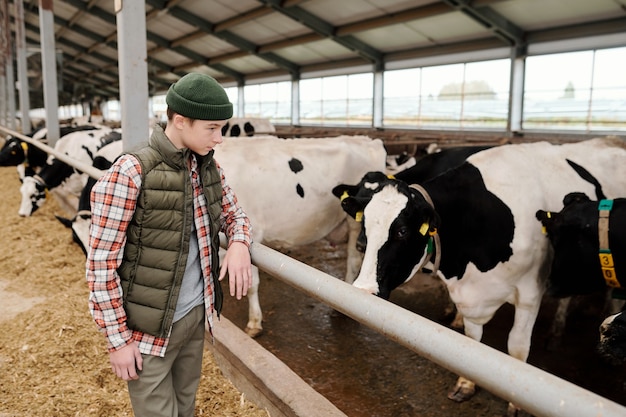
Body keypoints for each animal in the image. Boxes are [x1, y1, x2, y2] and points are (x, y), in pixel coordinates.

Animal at [332, 138, 626, 414]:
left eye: (402, 231)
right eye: (364, 224)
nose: (363, 290)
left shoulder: (531, 291)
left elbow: (517, 347)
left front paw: (515, 402)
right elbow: (472, 343)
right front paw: (466, 383)